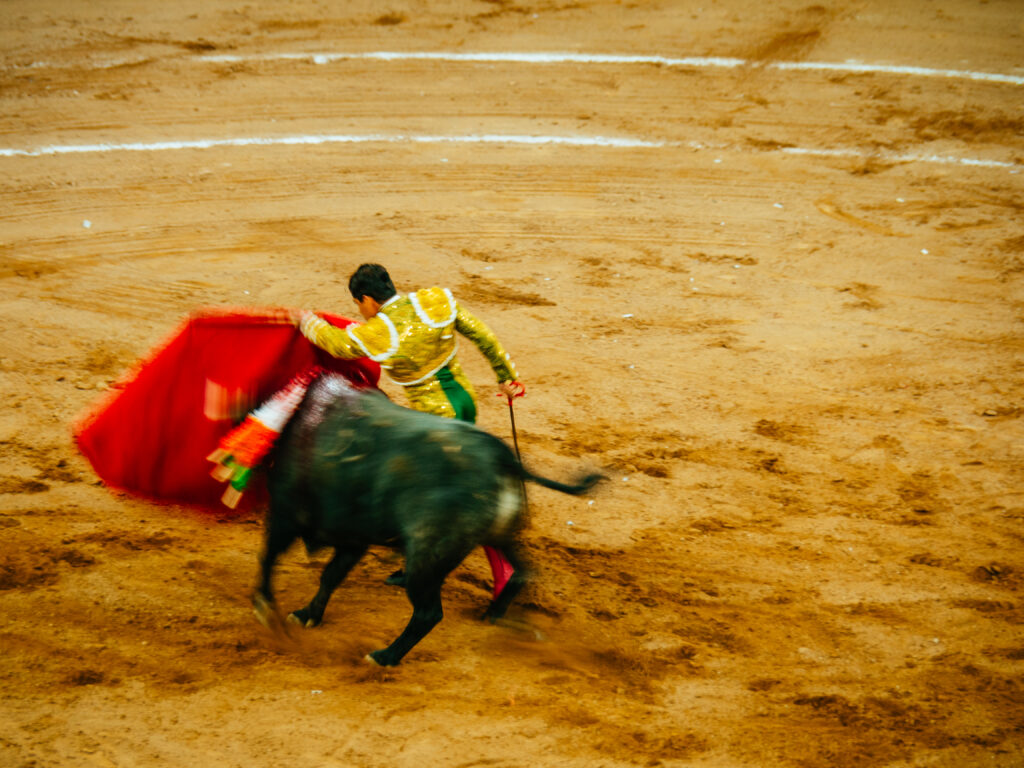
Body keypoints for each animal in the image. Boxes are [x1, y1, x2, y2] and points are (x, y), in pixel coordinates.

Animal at [251, 374, 598, 667]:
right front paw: (308, 614)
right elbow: (330, 576)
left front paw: (265, 605)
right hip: (500, 535)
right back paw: (493, 613)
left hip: (427, 556)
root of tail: (502, 457)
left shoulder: (286, 514)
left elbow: (269, 557)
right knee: (522, 571)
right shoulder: (354, 538)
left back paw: (384, 657)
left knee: (428, 613)